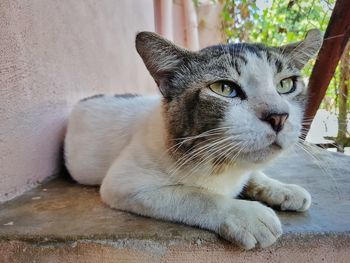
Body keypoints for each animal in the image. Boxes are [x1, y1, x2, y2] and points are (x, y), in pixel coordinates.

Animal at [63, 29, 322, 251]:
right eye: (224, 88)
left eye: (286, 84)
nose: (279, 116)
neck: (223, 166)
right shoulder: (123, 183)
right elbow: (195, 195)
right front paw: (247, 215)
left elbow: (255, 174)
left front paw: (283, 190)